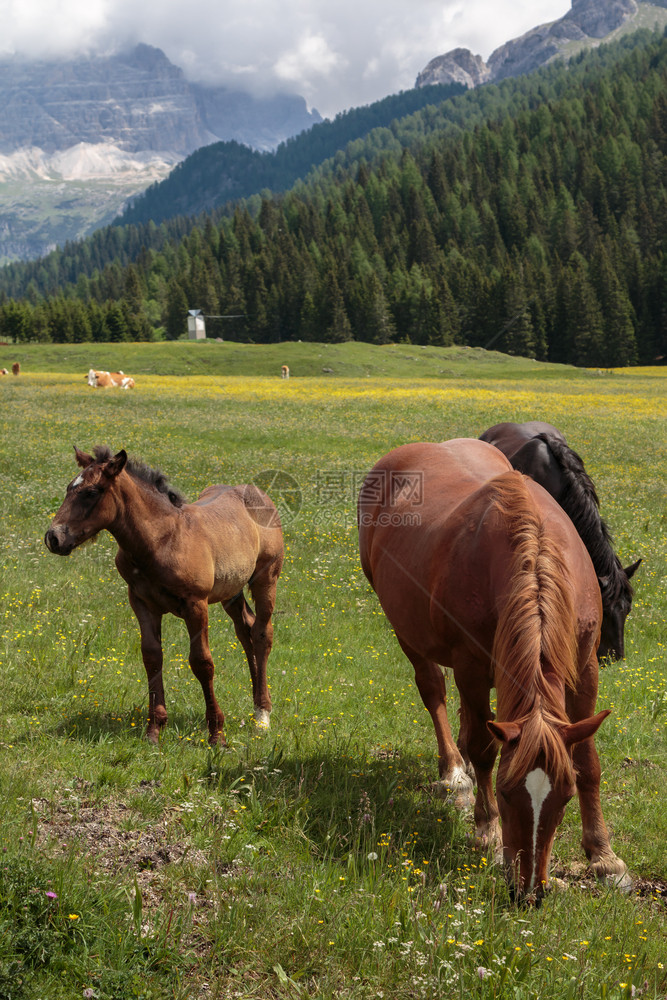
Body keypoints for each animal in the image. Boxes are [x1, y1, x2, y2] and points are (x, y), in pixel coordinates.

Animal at [44, 446, 284, 744]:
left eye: (91, 492)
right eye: (69, 488)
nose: (53, 537)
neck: (161, 539)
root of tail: (258, 493)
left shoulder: (196, 604)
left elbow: (202, 662)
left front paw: (217, 734)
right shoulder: (142, 603)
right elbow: (152, 658)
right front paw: (154, 730)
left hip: (266, 579)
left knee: (262, 633)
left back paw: (262, 716)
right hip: (231, 590)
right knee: (246, 630)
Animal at [358, 442, 628, 904]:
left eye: (565, 797)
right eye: (505, 792)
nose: (529, 893)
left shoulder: (585, 668)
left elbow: (588, 761)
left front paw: (604, 856)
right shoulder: (469, 664)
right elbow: (486, 750)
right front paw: (488, 832)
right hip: (407, 631)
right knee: (435, 692)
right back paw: (454, 772)